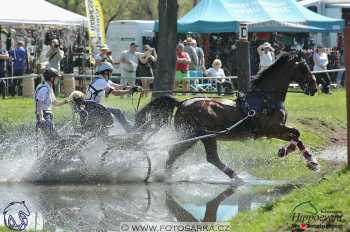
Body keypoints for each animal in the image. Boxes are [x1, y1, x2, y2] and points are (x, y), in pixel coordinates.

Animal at [135, 53, 320, 182]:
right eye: (304, 68)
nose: (314, 87)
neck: (266, 98)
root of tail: (182, 103)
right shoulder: (271, 129)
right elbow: (296, 133)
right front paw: (293, 154)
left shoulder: (276, 130)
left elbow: (297, 135)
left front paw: (309, 160)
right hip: (195, 136)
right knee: (185, 154)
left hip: (202, 137)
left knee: (205, 157)